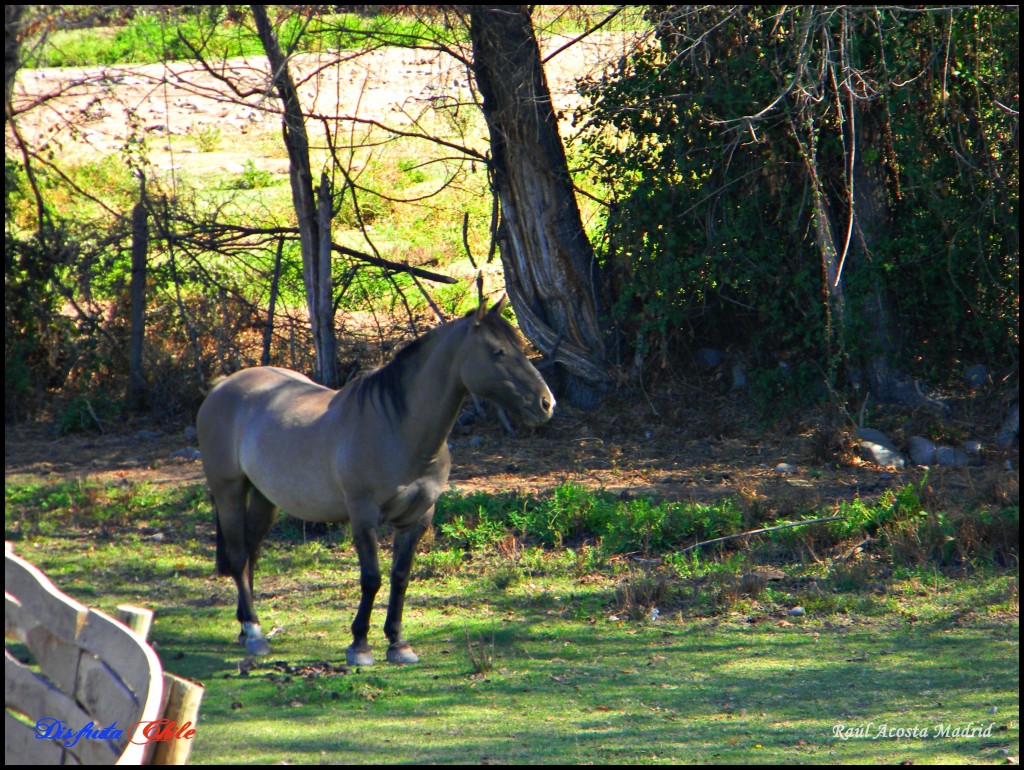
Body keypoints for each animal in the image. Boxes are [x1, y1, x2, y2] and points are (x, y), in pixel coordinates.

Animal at [195, 296, 557, 663]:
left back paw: (245, 627)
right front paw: (359, 643)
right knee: (238, 555)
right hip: (229, 490)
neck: (399, 430)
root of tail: (223, 386)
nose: (547, 403)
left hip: (265, 498)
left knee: (251, 553)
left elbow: (400, 576)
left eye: (521, 347)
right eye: (498, 351)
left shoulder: (417, 518)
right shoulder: (363, 515)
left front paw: (398, 642)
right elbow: (371, 578)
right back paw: (254, 633)